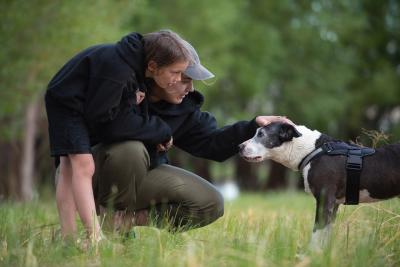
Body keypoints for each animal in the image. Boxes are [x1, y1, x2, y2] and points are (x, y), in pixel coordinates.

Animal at [239, 122, 398, 250]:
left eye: (261, 134)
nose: (239, 146)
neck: (310, 150)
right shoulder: (334, 205)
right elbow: (325, 235)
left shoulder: (324, 199)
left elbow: (317, 233)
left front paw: (311, 255)